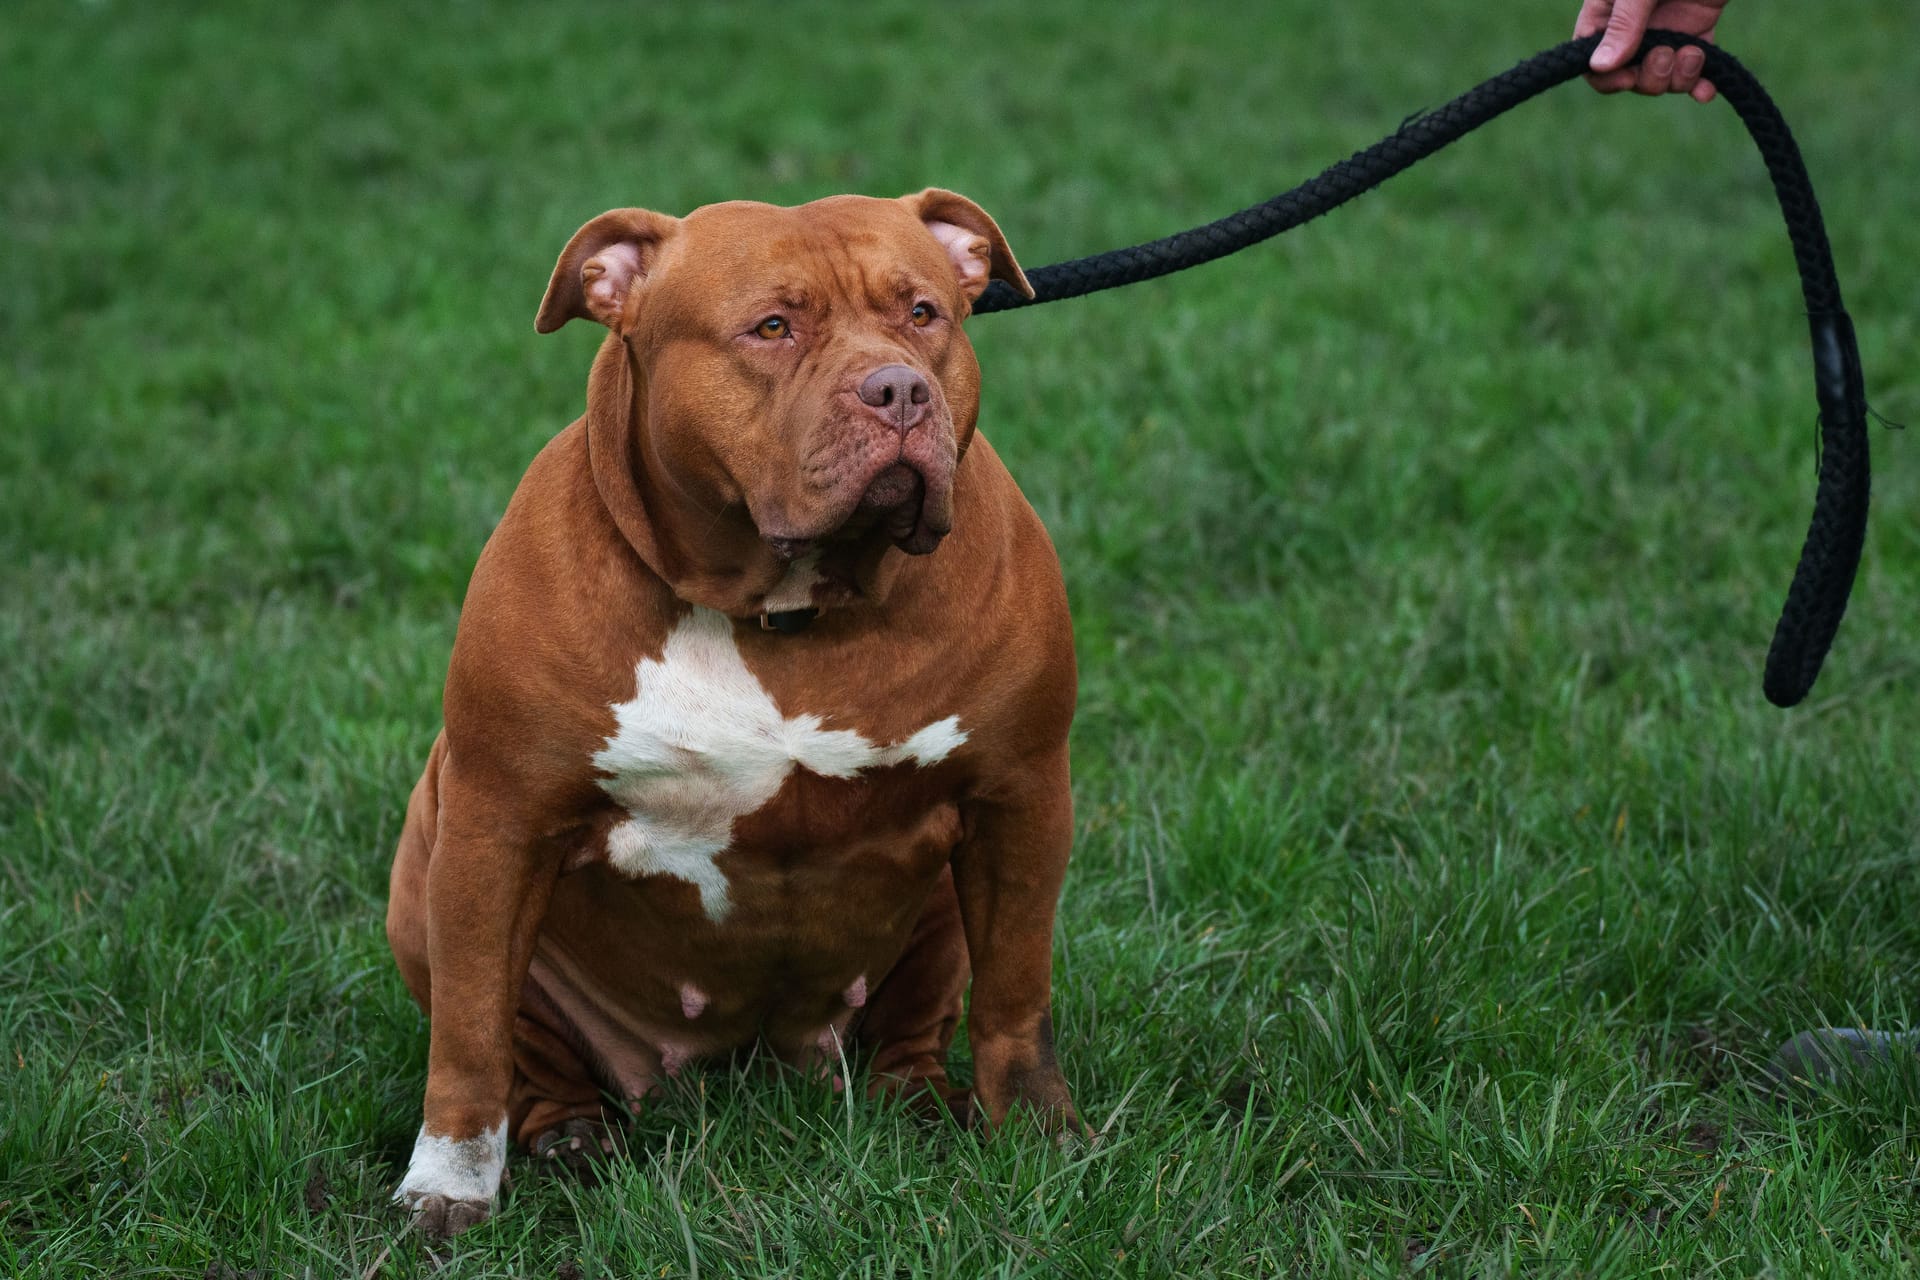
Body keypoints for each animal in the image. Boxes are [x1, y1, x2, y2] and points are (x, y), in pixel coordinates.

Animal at [382, 188, 1090, 1228]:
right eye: (772, 328)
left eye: (924, 314)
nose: (898, 390)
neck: (784, 608)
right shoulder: (494, 822)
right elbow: (471, 1036)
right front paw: (447, 1185)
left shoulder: (1021, 797)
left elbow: (1017, 999)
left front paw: (1042, 1135)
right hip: (426, 861)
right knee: (524, 1051)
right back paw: (565, 1133)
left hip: (940, 920)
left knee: (913, 1027)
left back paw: (919, 1101)